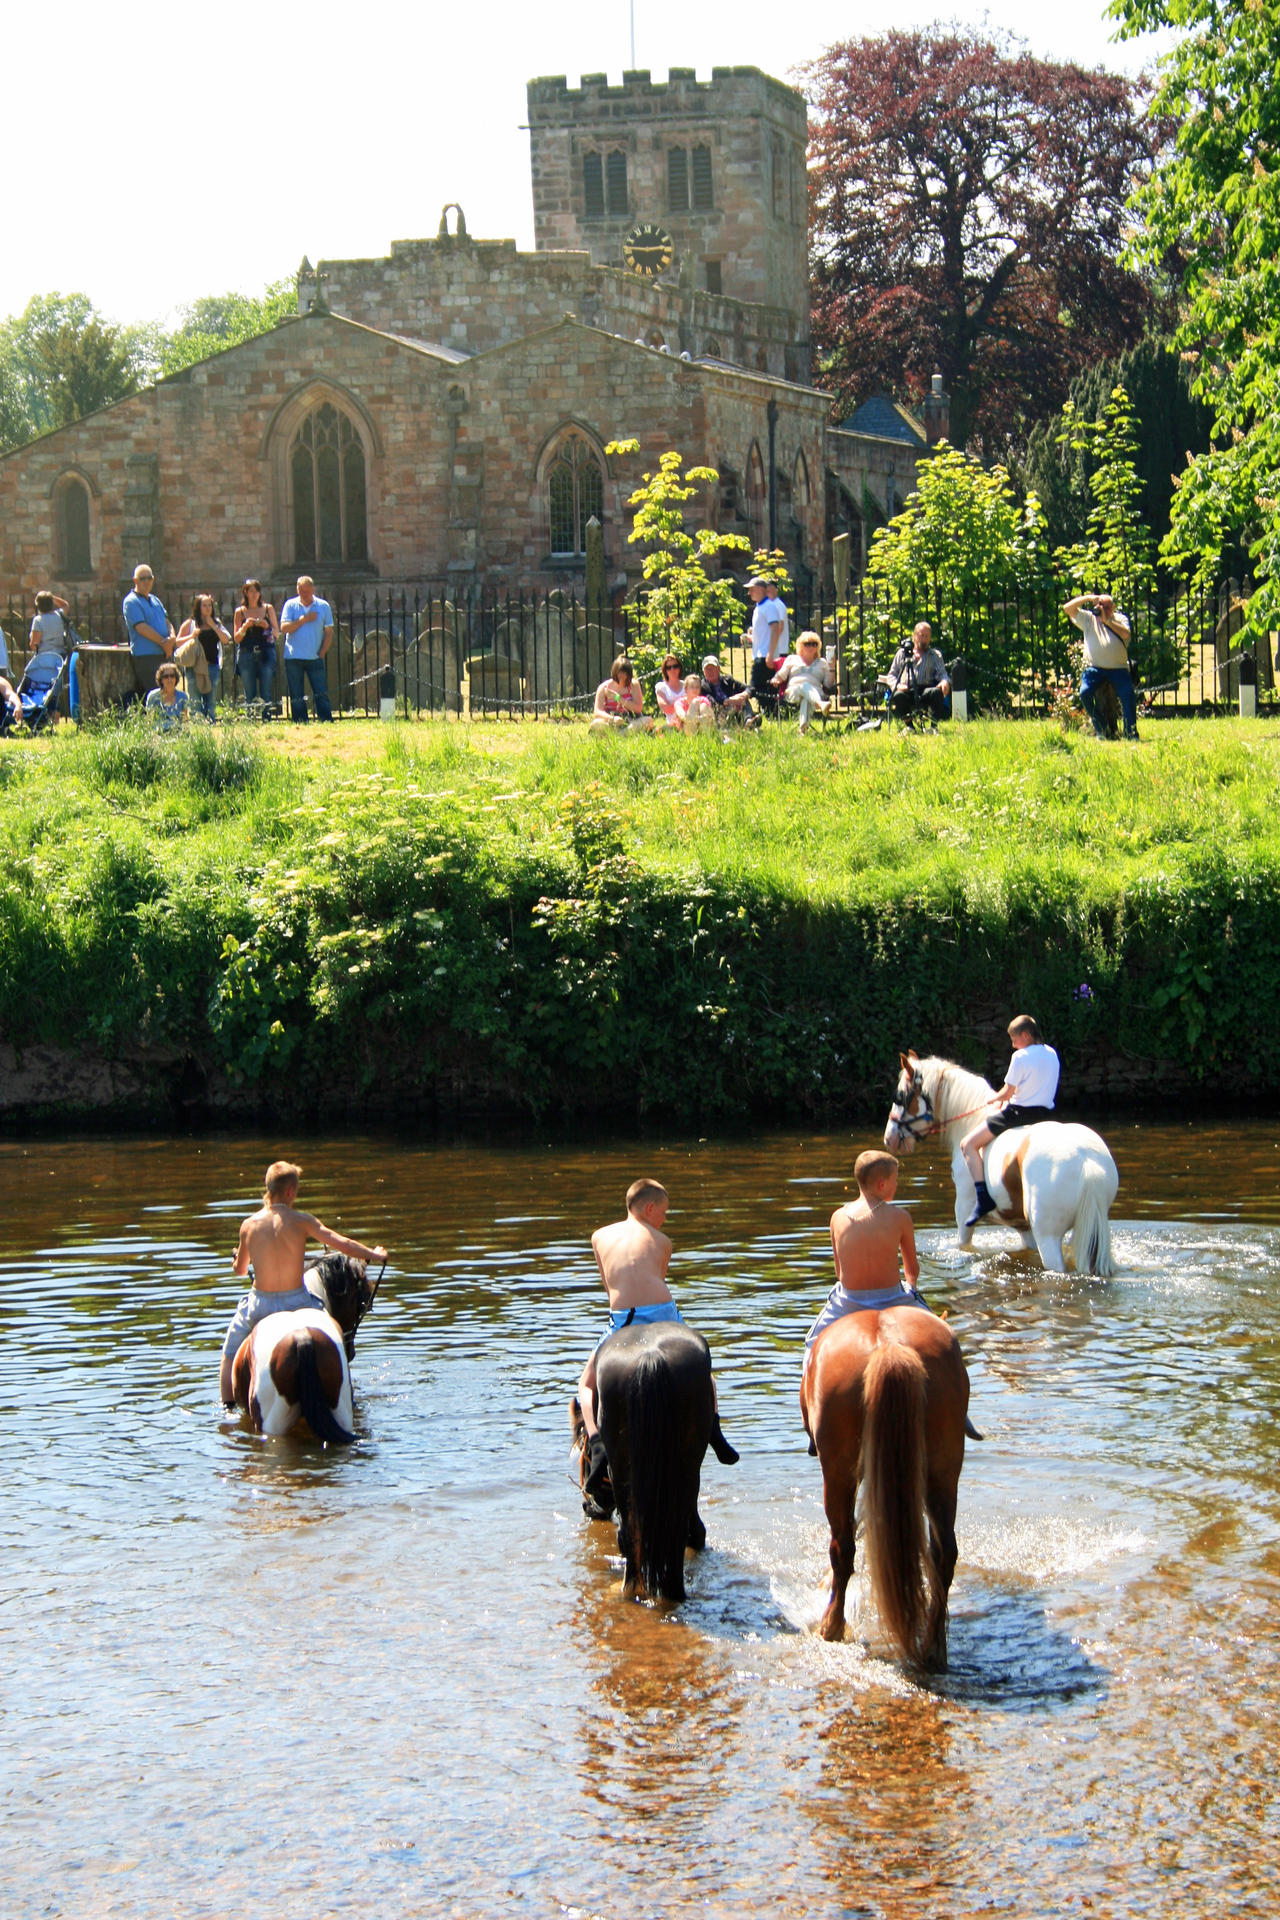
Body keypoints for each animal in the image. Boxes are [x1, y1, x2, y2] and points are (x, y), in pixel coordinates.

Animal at [802, 1305, 971, 1666]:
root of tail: (890, 1347)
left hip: (837, 1473)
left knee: (842, 1549)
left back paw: (831, 1626)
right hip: (944, 1469)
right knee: (943, 1553)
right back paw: (934, 1647)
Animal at [886, 1052, 1113, 1274]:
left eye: (899, 1096)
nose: (889, 1138)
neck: (973, 1121)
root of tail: (1086, 1161)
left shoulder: (964, 1209)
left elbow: (964, 1244)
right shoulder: (1023, 1226)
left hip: (1048, 1238)